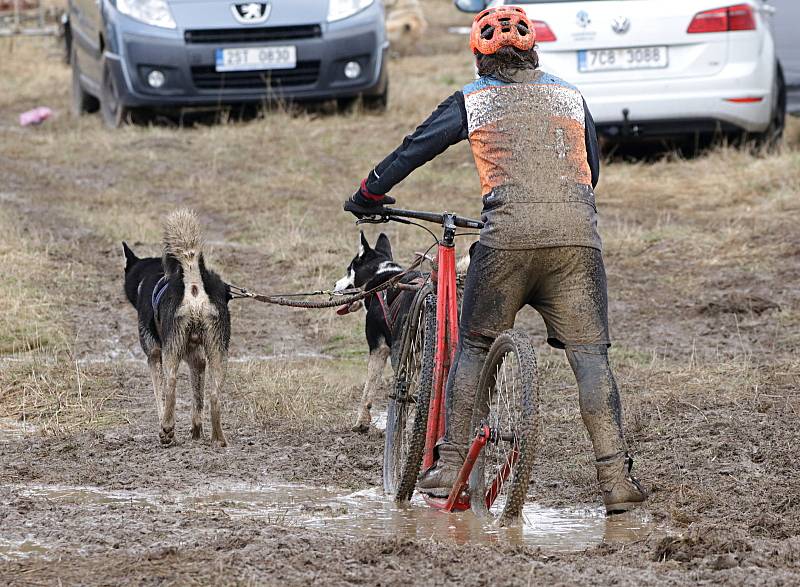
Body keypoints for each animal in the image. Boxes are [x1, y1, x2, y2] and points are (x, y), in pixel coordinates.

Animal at [122, 210, 231, 446]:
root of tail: (194, 285)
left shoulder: (154, 354)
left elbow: (160, 396)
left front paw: (166, 426)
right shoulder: (197, 359)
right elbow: (197, 400)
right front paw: (196, 432)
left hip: (171, 350)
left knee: (171, 384)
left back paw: (167, 428)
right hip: (218, 352)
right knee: (214, 395)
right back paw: (218, 439)